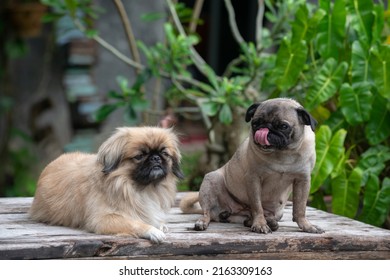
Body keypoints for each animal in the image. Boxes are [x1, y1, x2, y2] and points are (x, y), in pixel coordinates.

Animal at [29, 127, 184, 243]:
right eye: (139, 156)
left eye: (164, 153)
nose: (155, 158)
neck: (140, 188)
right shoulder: (102, 219)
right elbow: (133, 223)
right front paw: (152, 230)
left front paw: (160, 224)